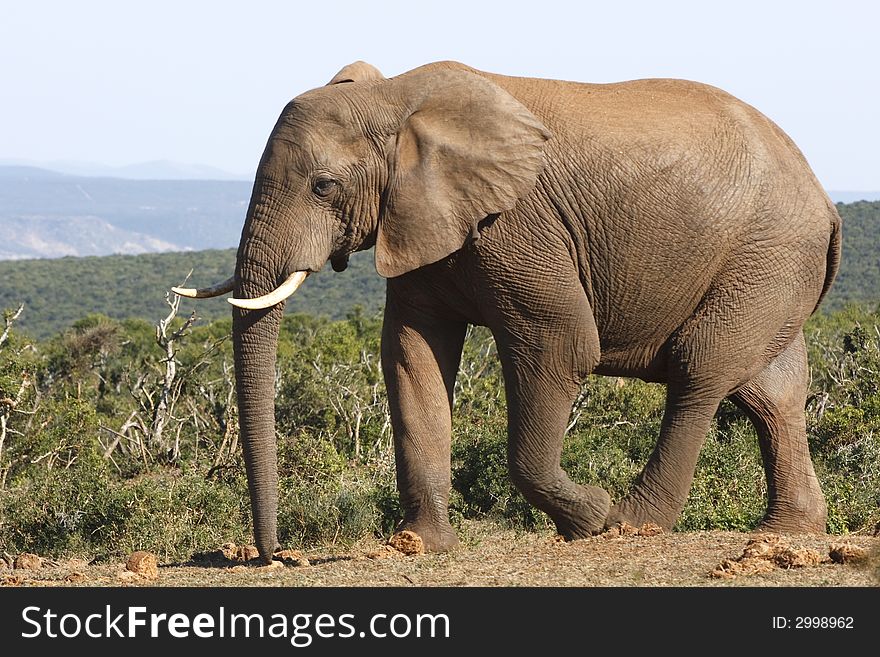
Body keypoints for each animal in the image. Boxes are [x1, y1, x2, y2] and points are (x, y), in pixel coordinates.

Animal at [175, 62, 844, 564]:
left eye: (322, 186)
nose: (272, 557)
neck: (396, 99)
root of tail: (825, 199)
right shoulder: (421, 220)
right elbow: (412, 354)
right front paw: (419, 545)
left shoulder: (518, 223)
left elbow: (561, 343)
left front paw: (588, 519)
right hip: (772, 267)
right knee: (773, 391)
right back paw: (790, 535)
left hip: (766, 251)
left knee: (700, 372)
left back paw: (630, 524)